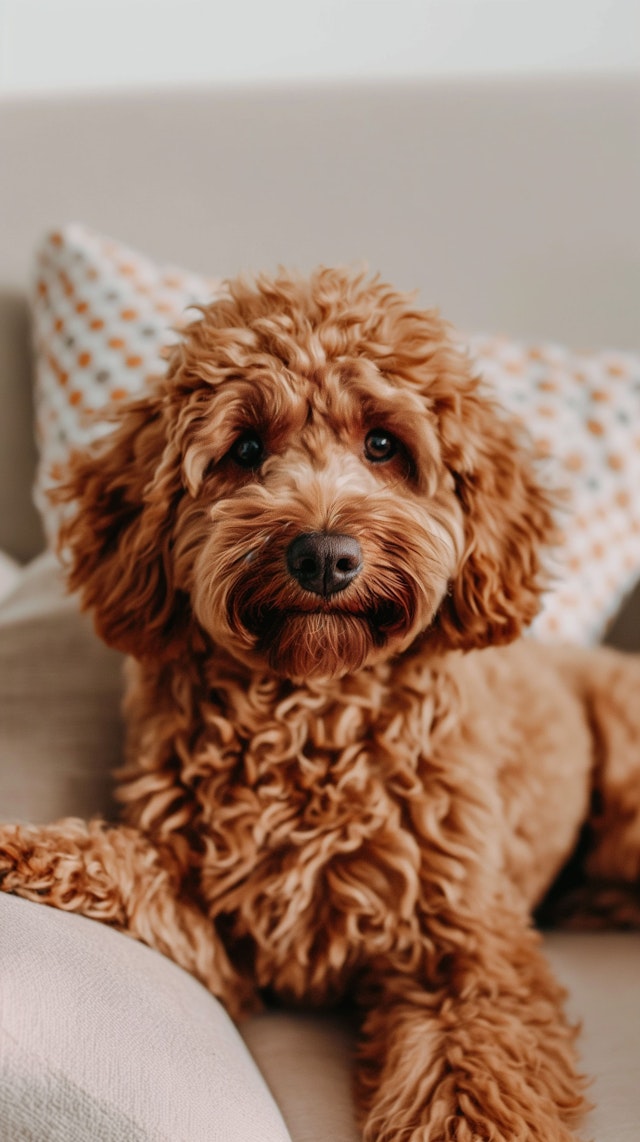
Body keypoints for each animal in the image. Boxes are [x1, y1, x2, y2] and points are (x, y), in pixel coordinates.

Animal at [1, 269, 640, 1142]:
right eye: (244, 449)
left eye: (384, 445)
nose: (326, 555)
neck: (309, 714)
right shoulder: (226, 935)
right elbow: (125, 863)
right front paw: (29, 846)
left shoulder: (467, 948)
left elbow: (472, 1078)